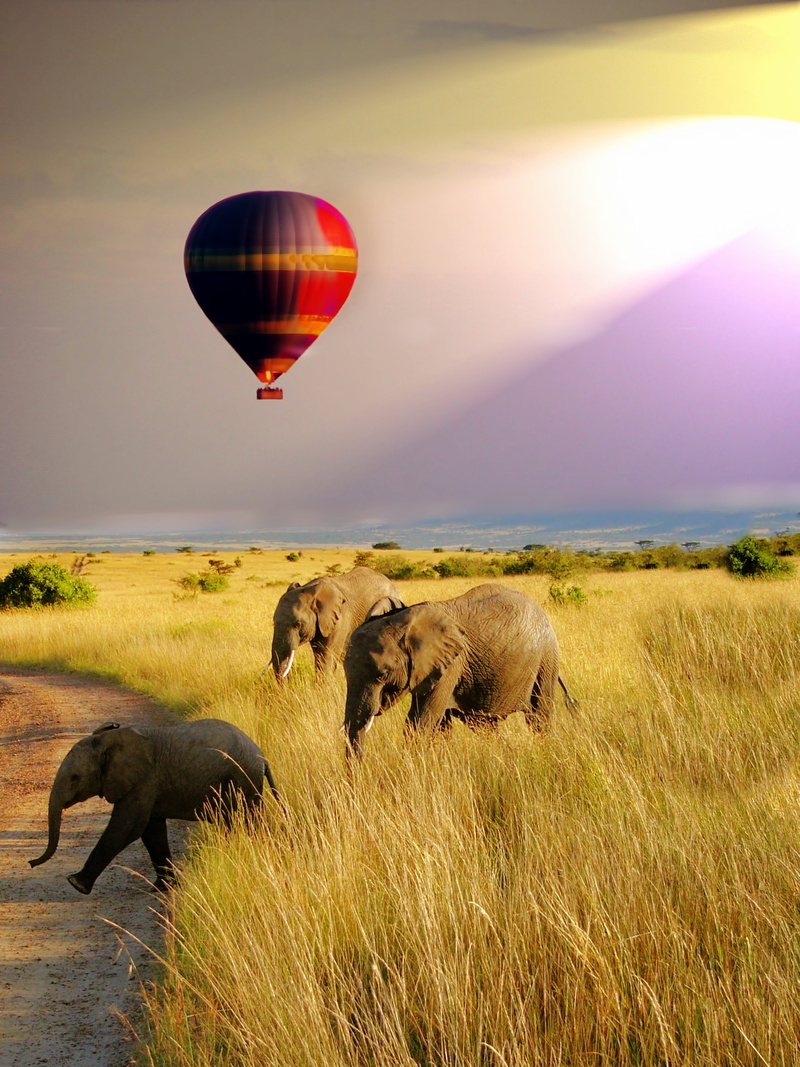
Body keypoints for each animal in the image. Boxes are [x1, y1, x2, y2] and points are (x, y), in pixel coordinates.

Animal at [29, 718, 281, 895]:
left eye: (74, 778)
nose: (31, 863)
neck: (109, 741)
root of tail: (262, 755)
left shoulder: (144, 779)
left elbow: (127, 828)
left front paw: (75, 883)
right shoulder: (148, 785)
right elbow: (151, 831)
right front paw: (163, 887)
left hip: (244, 779)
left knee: (249, 819)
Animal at [343, 583, 575, 754]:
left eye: (383, 675)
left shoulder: (450, 665)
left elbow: (420, 722)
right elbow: (440, 726)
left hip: (546, 658)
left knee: (539, 716)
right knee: (485, 725)